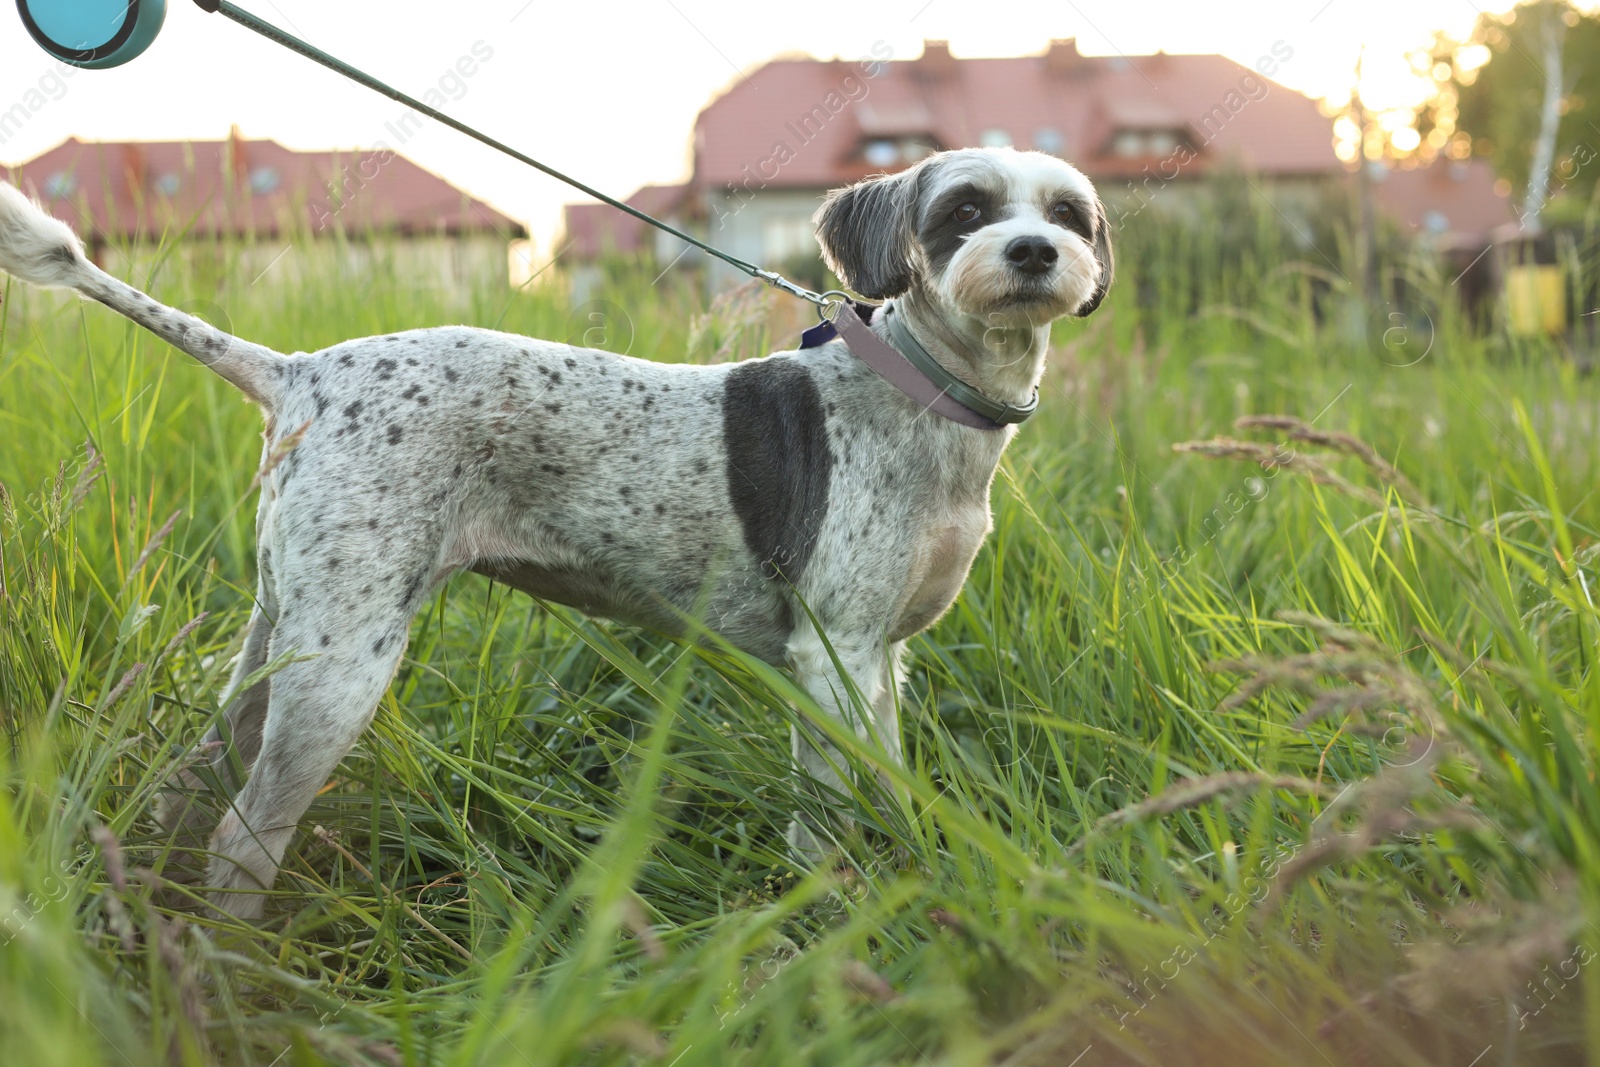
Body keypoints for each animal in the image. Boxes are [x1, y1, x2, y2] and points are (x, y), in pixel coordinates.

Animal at [0, 146, 1113, 921]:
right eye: (963, 210)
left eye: (1068, 214)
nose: (1034, 251)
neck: (922, 394)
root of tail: (297, 369)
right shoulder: (830, 655)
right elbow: (827, 815)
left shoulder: (882, 661)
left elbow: (888, 786)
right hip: (344, 665)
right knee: (239, 838)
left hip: (285, 637)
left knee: (185, 786)